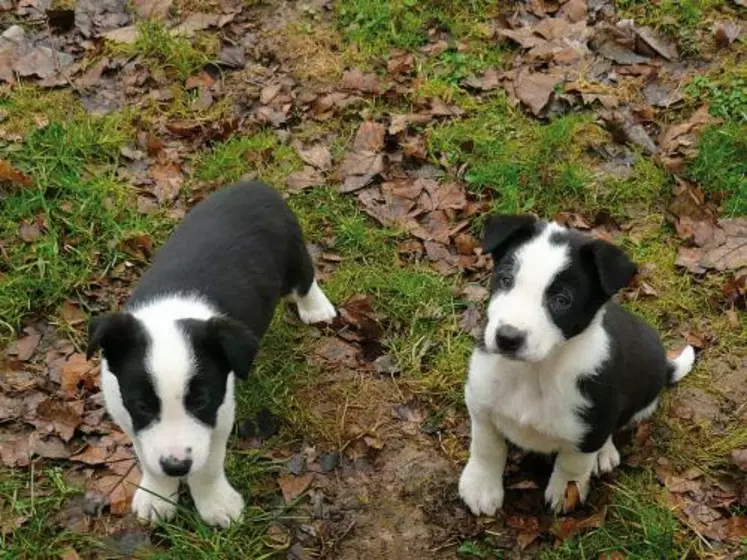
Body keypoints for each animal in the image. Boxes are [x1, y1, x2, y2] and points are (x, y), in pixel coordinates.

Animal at [84, 182, 336, 528]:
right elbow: (147, 457)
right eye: (142, 405)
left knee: (305, 279)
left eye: (200, 401)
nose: (176, 466)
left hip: (292, 255)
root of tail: (254, 185)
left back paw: (317, 308)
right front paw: (158, 496)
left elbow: (207, 467)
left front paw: (216, 504)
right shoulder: (126, 416)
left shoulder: (219, 417)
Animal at [458, 215, 700, 516]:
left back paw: (605, 453)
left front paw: (565, 493)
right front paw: (480, 486)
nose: (507, 338)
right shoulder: (480, 403)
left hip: (642, 398)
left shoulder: (591, 427)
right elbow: (486, 447)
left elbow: (572, 465)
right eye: (505, 279)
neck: (536, 371)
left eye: (562, 300)